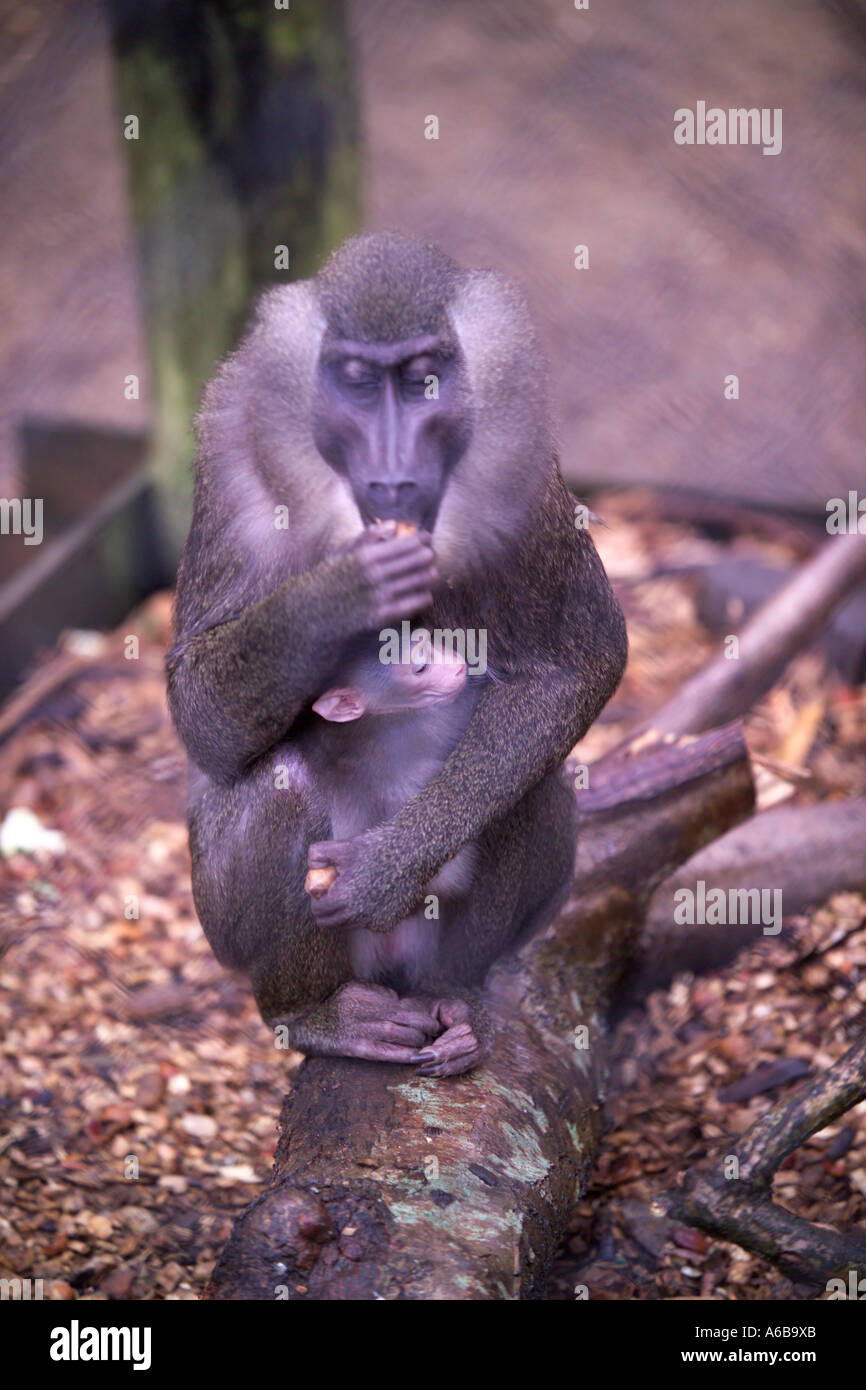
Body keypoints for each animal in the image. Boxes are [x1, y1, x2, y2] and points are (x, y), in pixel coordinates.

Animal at [167, 231, 627, 1076]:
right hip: (231, 934)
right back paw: (315, 1014)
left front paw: (387, 869)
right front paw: (344, 588)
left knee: (524, 788)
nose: (390, 474)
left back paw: (456, 1002)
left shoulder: (525, 473)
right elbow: (199, 708)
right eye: (354, 382)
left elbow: (577, 662)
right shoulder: (231, 448)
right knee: (281, 783)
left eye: (422, 383)